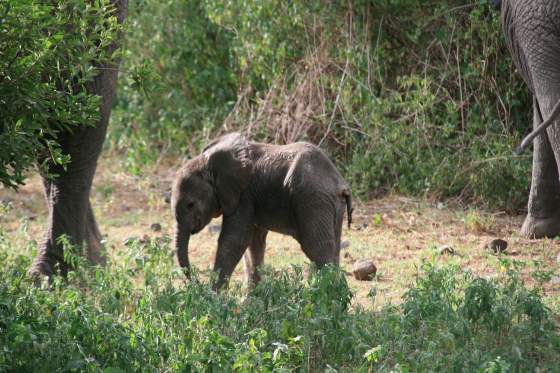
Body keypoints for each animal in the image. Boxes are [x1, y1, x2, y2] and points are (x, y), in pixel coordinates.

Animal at [173, 132, 352, 290]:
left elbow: (234, 240)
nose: (196, 283)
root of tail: (340, 183)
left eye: (190, 204)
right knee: (334, 247)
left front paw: (211, 296)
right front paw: (251, 300)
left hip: (313, 200)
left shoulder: (243, 195)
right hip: (332, 205)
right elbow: (253, 242)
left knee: (317, 247)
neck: (208, 163)